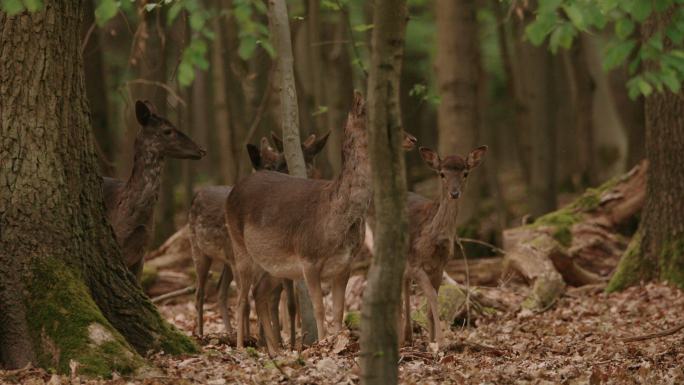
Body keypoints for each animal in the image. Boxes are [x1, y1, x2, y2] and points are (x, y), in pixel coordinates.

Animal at [190, 134, 328, 344]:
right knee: (201, 293)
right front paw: (262, 340)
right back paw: (202, 334)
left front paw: (281, 341)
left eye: (311, 160)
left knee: (221, 292)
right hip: (200, 251)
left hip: (227, 261)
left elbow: (284, 302)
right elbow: (260, 300)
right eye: (273, 165)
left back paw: (231, 333)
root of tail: (196, 194)